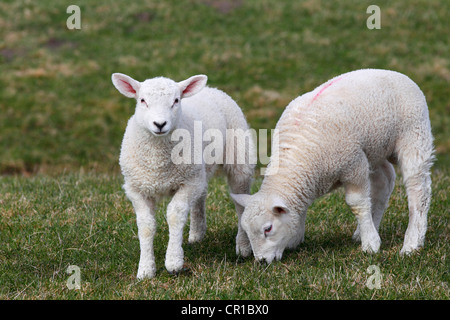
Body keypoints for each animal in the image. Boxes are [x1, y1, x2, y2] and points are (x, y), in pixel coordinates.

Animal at [111, 72, 255, 278]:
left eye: (176, 100)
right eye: (142, 100)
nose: (160, 124)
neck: (158, 163)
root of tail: (211, 89)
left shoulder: (188, 183)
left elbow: (174, 215)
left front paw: (173, 261)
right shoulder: (137, 188)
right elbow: (146, 226)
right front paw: (145, 269)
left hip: (238, 160)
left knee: (240, 204)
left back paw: (243, 247)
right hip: (199, 171)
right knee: (201, 196)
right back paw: (196, 234)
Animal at [230, 67, 434, 262]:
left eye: (268, 229)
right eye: (246, 231)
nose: (261, 261)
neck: (297, 158)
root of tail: (397, 74)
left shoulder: (353, 164)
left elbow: (357, 203)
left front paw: (371, 244)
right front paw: (295, 238)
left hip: (414, 135)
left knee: (418, 189)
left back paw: (412, 243)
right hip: (375, 148)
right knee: (385, 181)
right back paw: (366, 229)